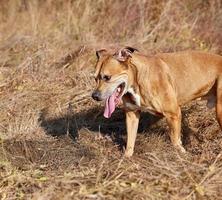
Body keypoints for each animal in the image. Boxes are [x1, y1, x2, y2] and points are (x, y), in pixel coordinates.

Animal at [91, 47, 222, 157]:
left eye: (107, 77)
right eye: (95, 78)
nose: (94, 96)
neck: (137, 78)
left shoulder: (173, 114)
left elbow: (175, 140)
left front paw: (181, 155)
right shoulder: (132, 115)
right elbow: (130, 141)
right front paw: (126, 158)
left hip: (219, 111)